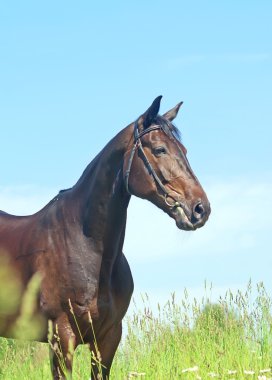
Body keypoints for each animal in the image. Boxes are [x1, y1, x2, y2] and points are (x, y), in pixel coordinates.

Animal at [0, 96, 210, 378]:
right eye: (159, 150)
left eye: (185, 151)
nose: (200, 209)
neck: (88, 247)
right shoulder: (62, 336)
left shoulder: (108, 337)